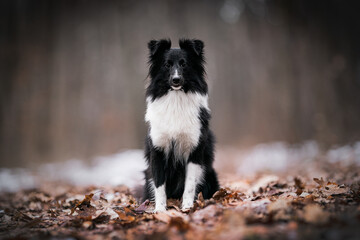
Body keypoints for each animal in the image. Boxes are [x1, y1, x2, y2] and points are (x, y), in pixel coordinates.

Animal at [142, 38, 218, 211]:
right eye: (167, 64)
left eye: (184, 64)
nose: (176, 80)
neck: (176, 99)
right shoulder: (158, 150)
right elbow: (159, 185)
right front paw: (160, 210)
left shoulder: (194, 150)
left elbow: (189, 185)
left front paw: (187, 208)